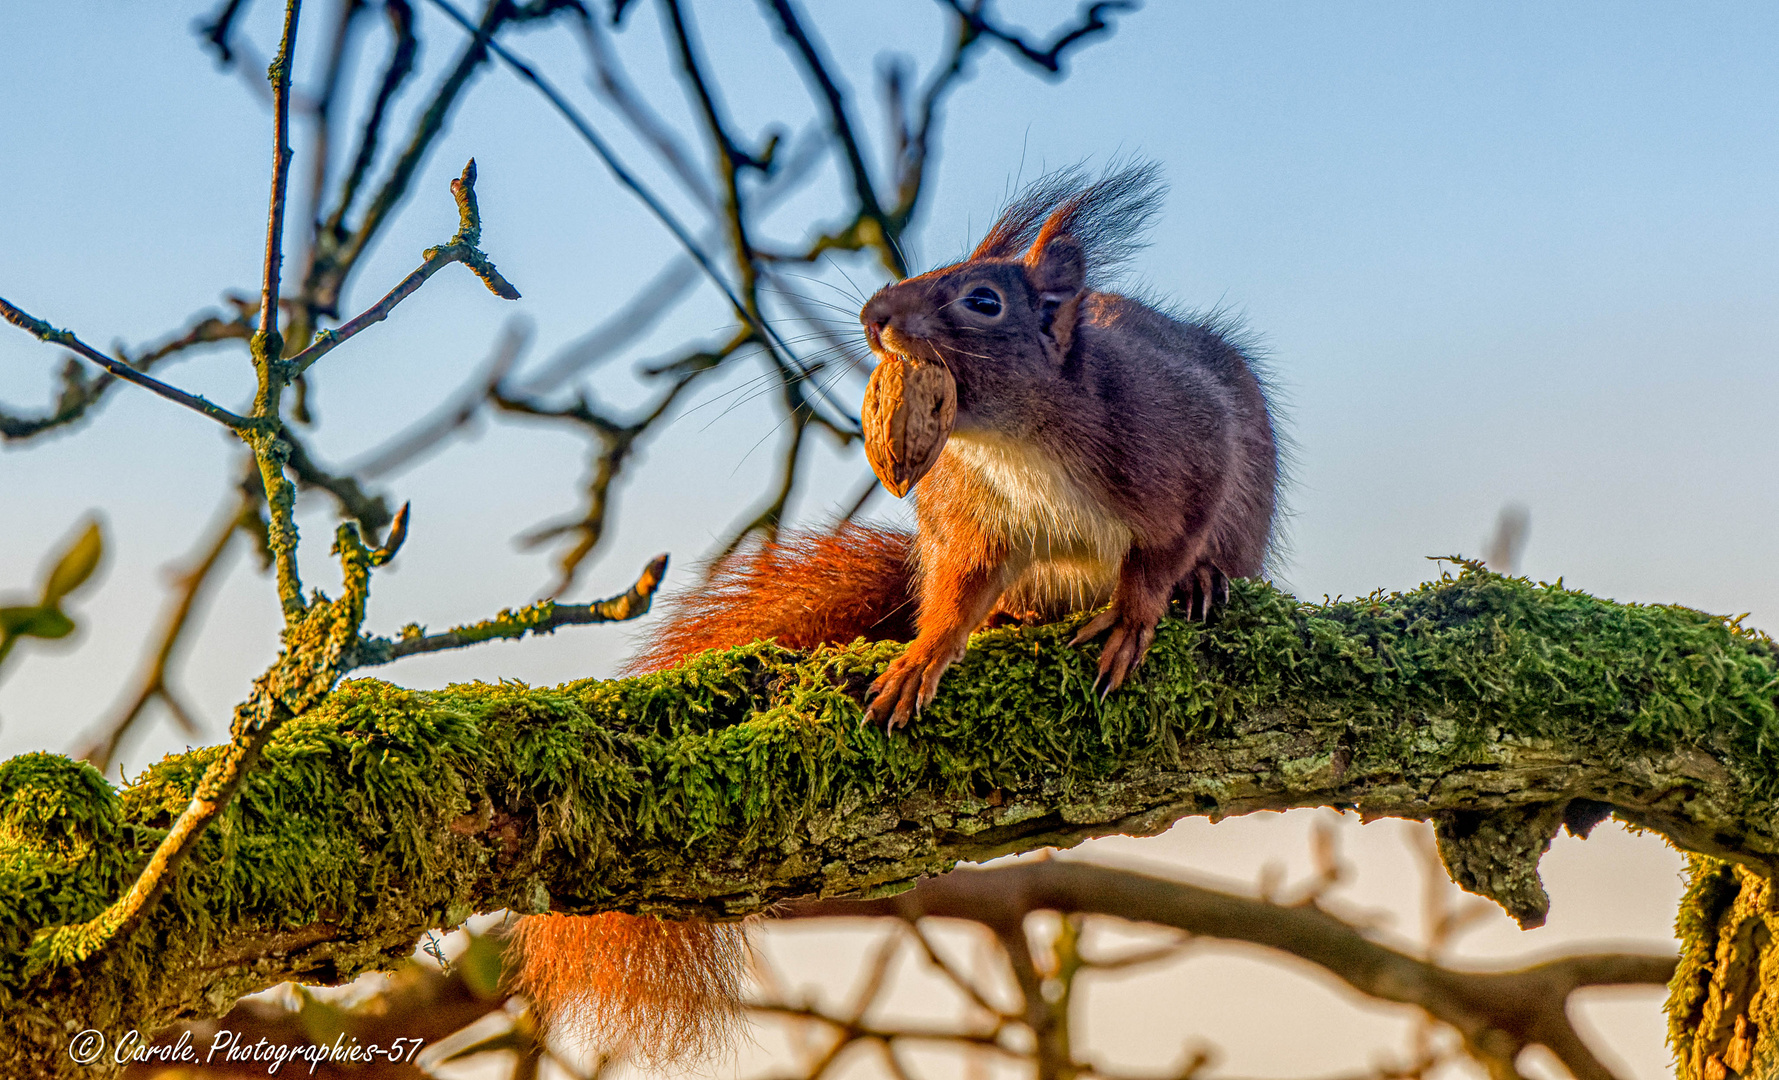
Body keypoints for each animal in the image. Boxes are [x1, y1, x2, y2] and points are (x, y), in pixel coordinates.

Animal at [515, 164, 1280, 1060]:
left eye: (983, 301)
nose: (874, 314)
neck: (1016, 443)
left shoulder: (1183, 444)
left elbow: (1165, 548)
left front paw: (1135, 614)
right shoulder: (974, 522)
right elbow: (955, 594)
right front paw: (922, 658)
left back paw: (1205, 585)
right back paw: (1011, 623)